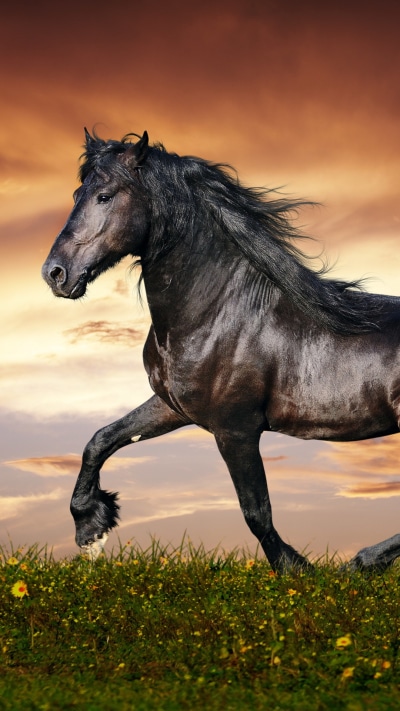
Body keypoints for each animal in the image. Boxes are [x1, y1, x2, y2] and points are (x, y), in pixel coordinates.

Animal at [42, 129, 400, 571]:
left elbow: (256, 512)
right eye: (78, 193)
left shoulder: (236, 429)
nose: (55, 273)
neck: (218, 314)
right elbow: (100, 440)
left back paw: (363, 562)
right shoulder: (173, 407)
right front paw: (91, 527)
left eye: (104, 196)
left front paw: (296, 568)